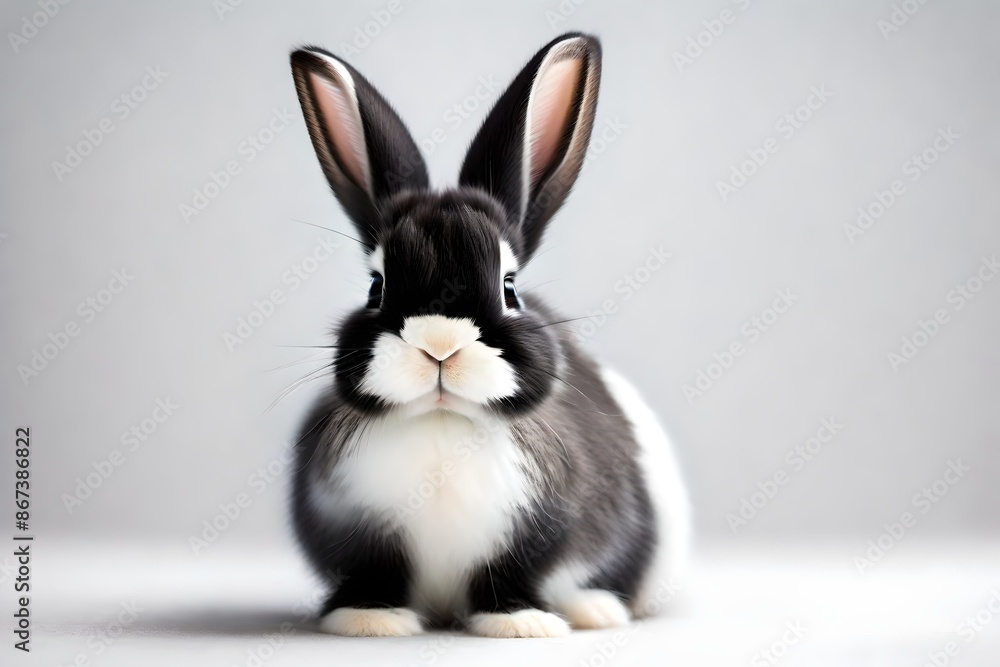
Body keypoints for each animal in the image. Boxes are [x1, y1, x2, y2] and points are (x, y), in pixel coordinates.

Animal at [288, 32, 690, 638]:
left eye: (509, 287)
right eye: (377, 287)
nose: (438, 344)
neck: (442, 423)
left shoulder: (536, 538)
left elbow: (509, 576)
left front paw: (521, 624)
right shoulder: (363, 540)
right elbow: (376, 576)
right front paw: (368, 620)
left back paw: (594, 610)